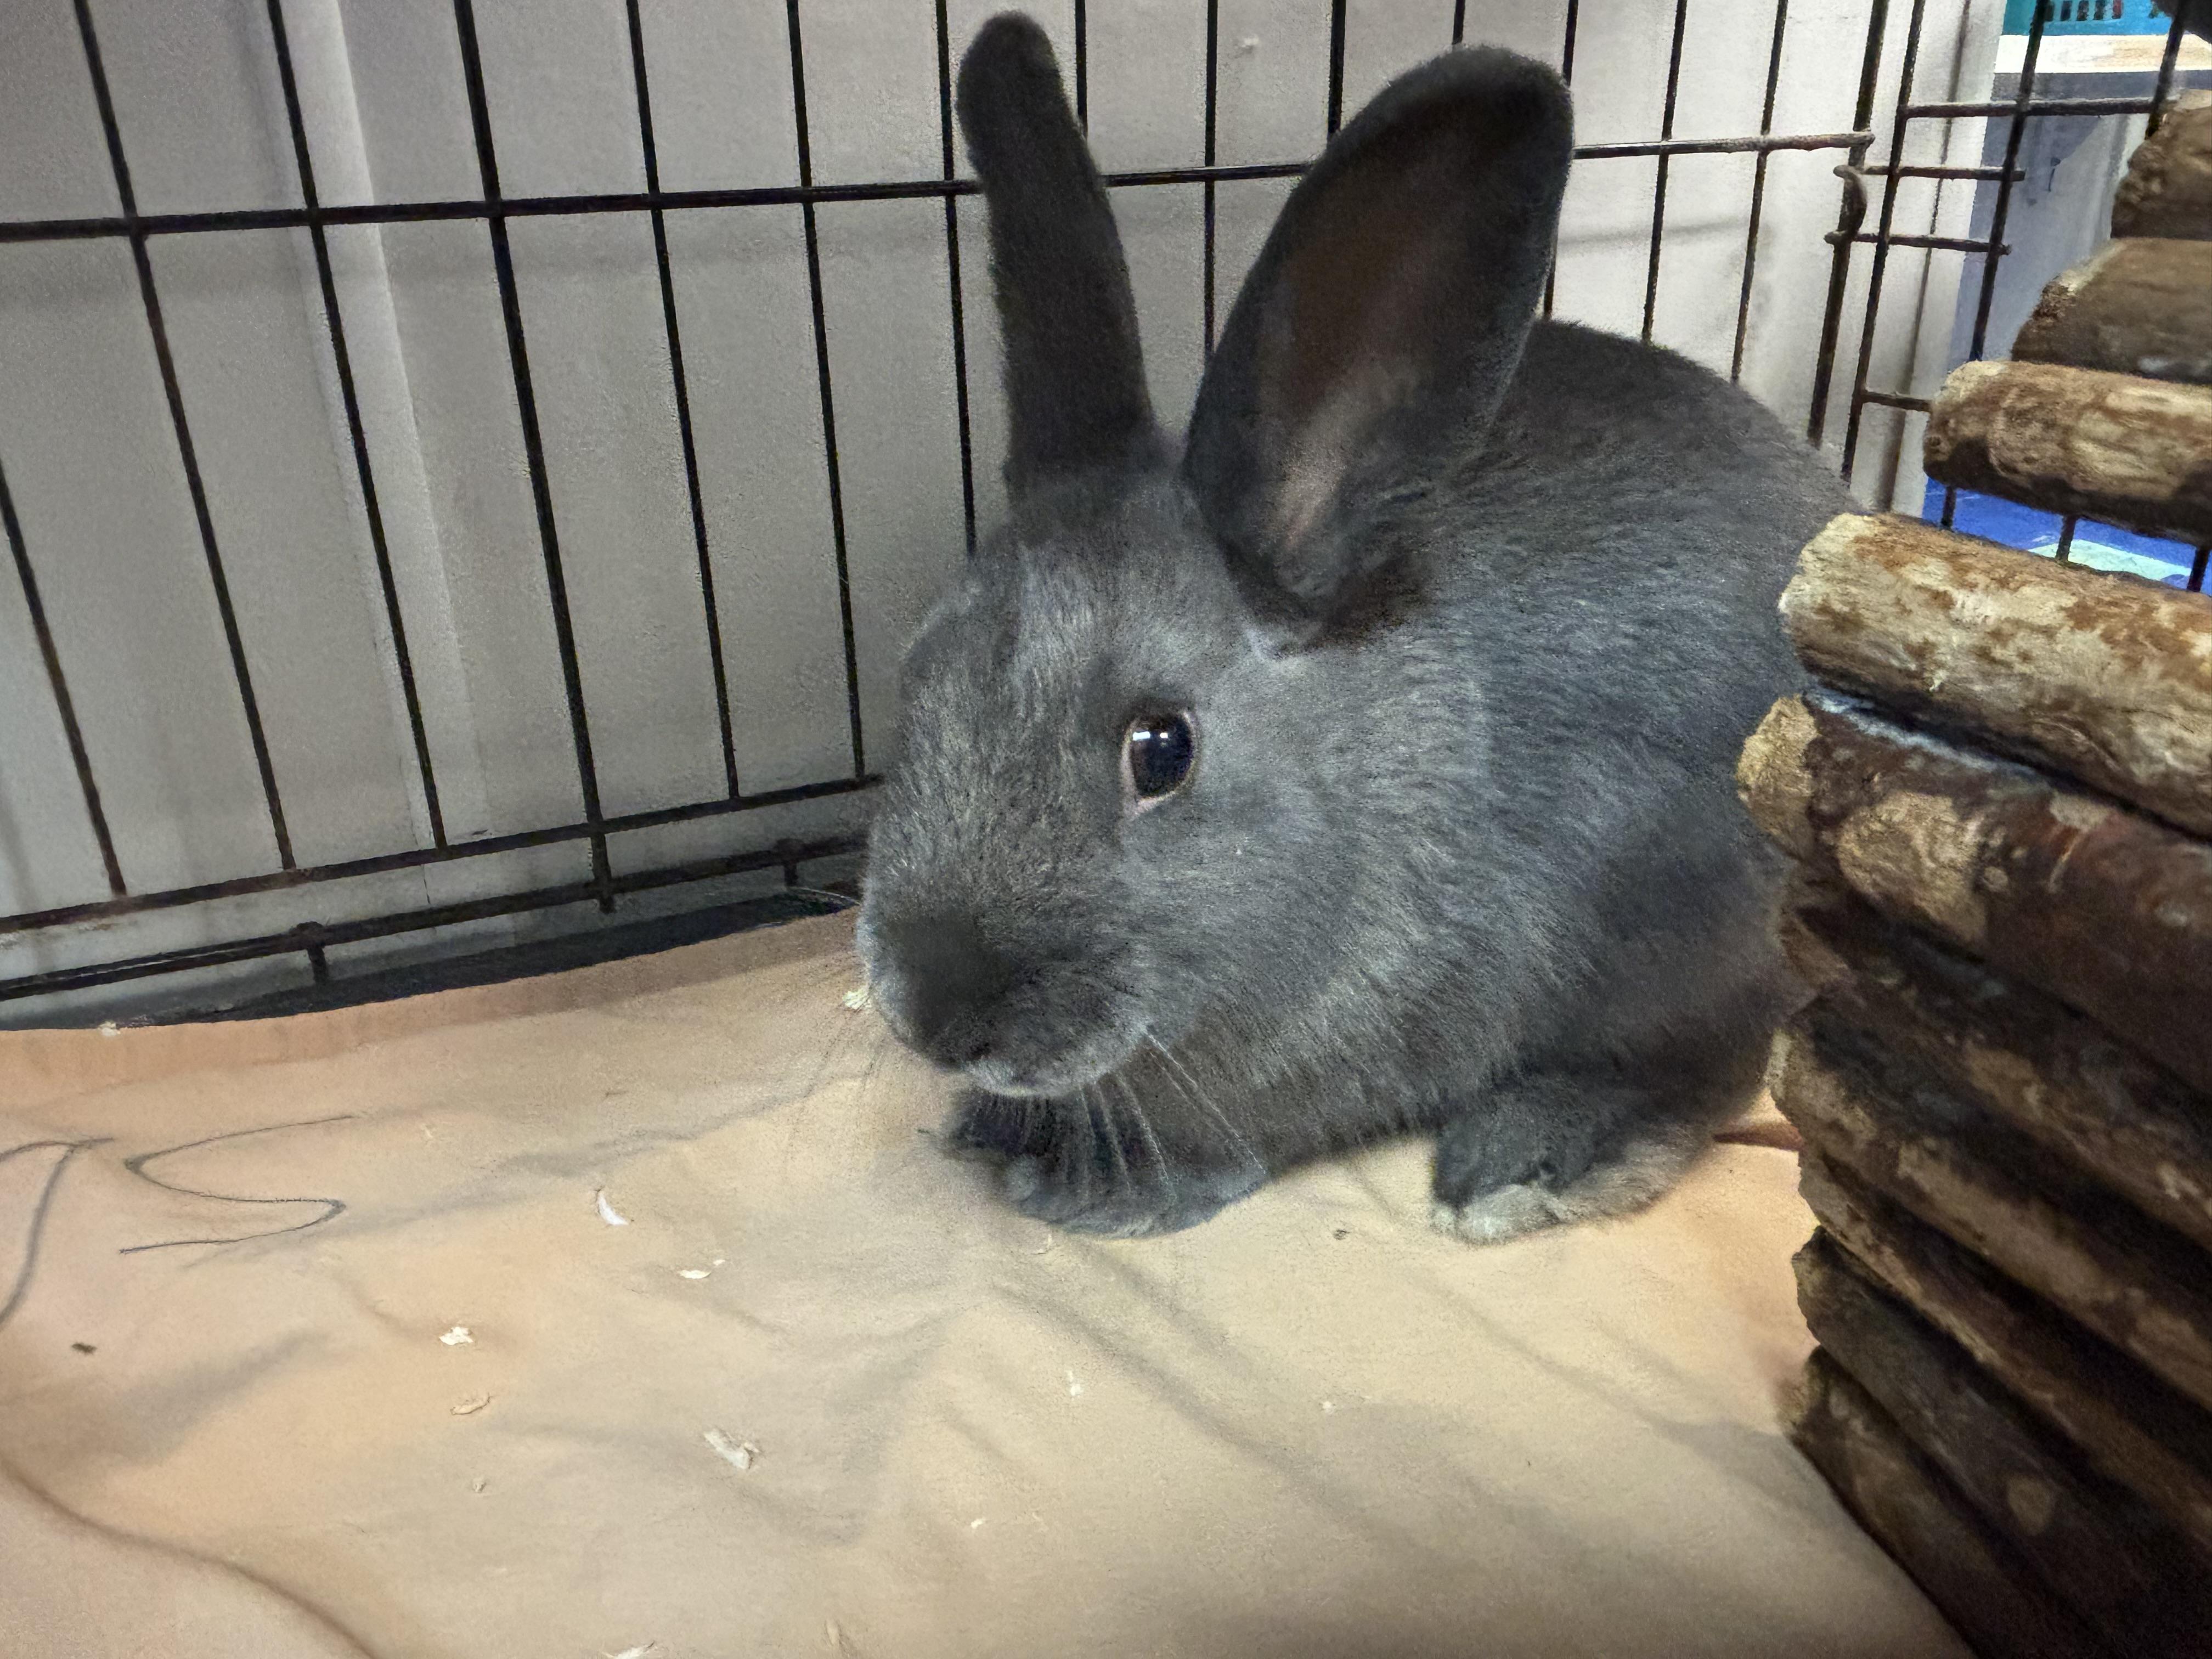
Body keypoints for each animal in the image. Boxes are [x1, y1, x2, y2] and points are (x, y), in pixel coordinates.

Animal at [854, 13, 1849, 1242]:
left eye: (1161, 749)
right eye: (918, 674)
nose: (935, 1009)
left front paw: (1106, 1187)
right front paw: (998, 1131)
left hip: (1701, 926)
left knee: (1716, 1062)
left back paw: (1530, 1159)